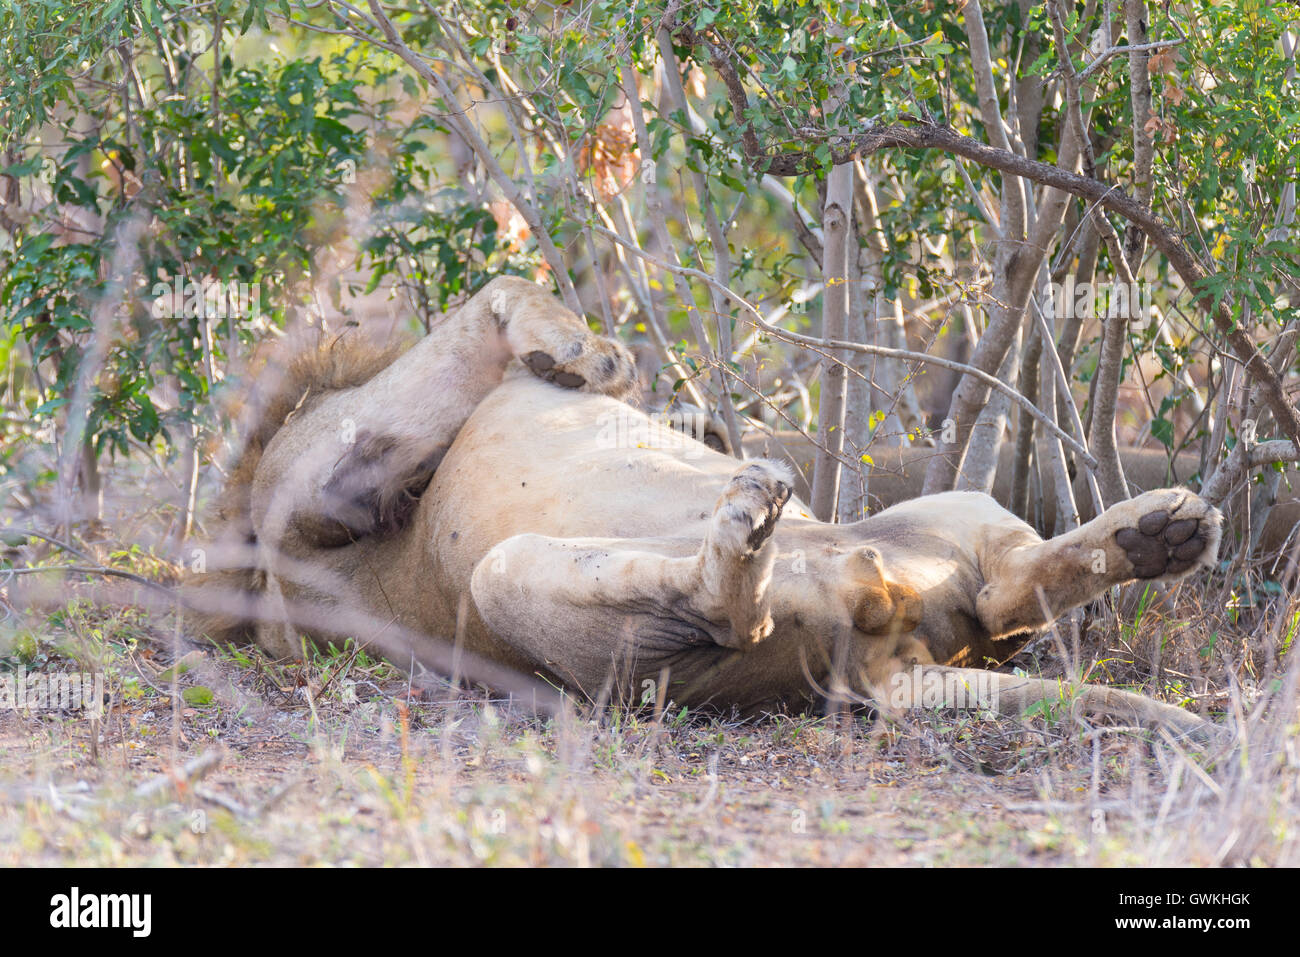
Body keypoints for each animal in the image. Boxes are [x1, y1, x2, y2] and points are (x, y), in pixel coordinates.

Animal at [187, 276, 1225, 739]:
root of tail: (882, 646)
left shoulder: (328, 484)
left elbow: (501, 289)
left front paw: (586, 358)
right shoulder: (325, 486)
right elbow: (502, 289)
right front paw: (590, 355)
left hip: (955, 507)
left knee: (1007, 589)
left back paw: (1164, 530)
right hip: (512, 584)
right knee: (740, 608)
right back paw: (749, 519)